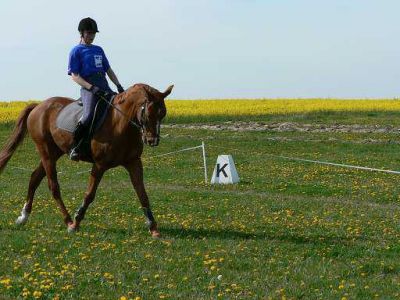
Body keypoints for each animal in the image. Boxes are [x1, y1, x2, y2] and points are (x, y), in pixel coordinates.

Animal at [0, 82, 173, 237]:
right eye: (148, 114)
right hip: (46, 151)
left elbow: (142, 194)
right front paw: (76, 223)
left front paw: (153, 228)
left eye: (163, 114)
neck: (121, 123)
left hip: (54, 152)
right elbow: (89, 194)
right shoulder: (99, 165)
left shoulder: (134, 163)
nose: (152, 140)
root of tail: (38, 106)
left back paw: (23, 216)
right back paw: (68, 221)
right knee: (53, 186)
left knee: (34, 178)